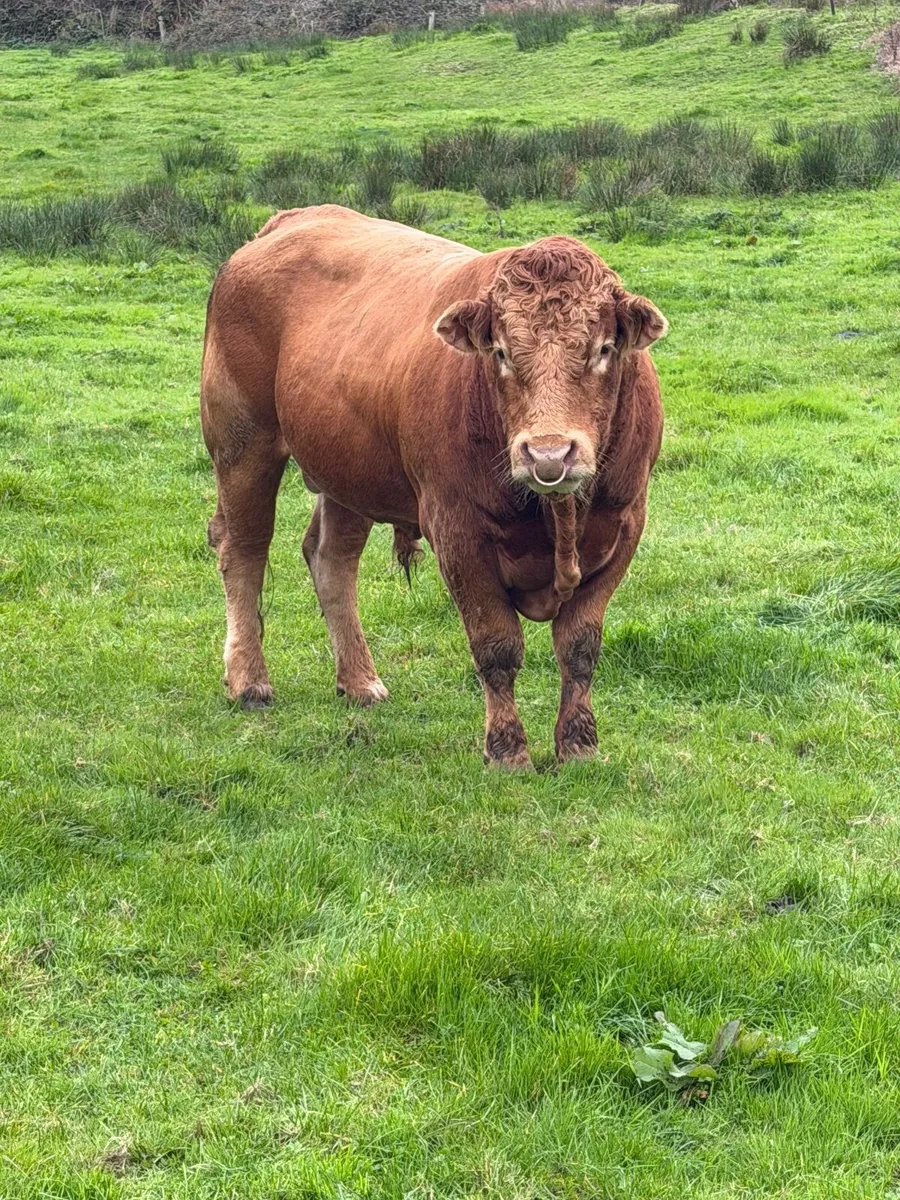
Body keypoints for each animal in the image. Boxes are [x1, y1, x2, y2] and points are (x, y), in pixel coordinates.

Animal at [200, 205, 666, 768]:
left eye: (604, 348)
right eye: (501, 352)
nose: (549, 454)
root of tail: (290, 220)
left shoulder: (624, 524)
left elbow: (579, 648)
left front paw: (578, 745)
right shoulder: (457, 533)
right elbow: (496, 646)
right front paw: (507, 751)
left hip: (348, 472)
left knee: (332, 558)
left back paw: (360, 682)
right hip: (242, 444)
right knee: (243, 551)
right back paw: (248, 680)